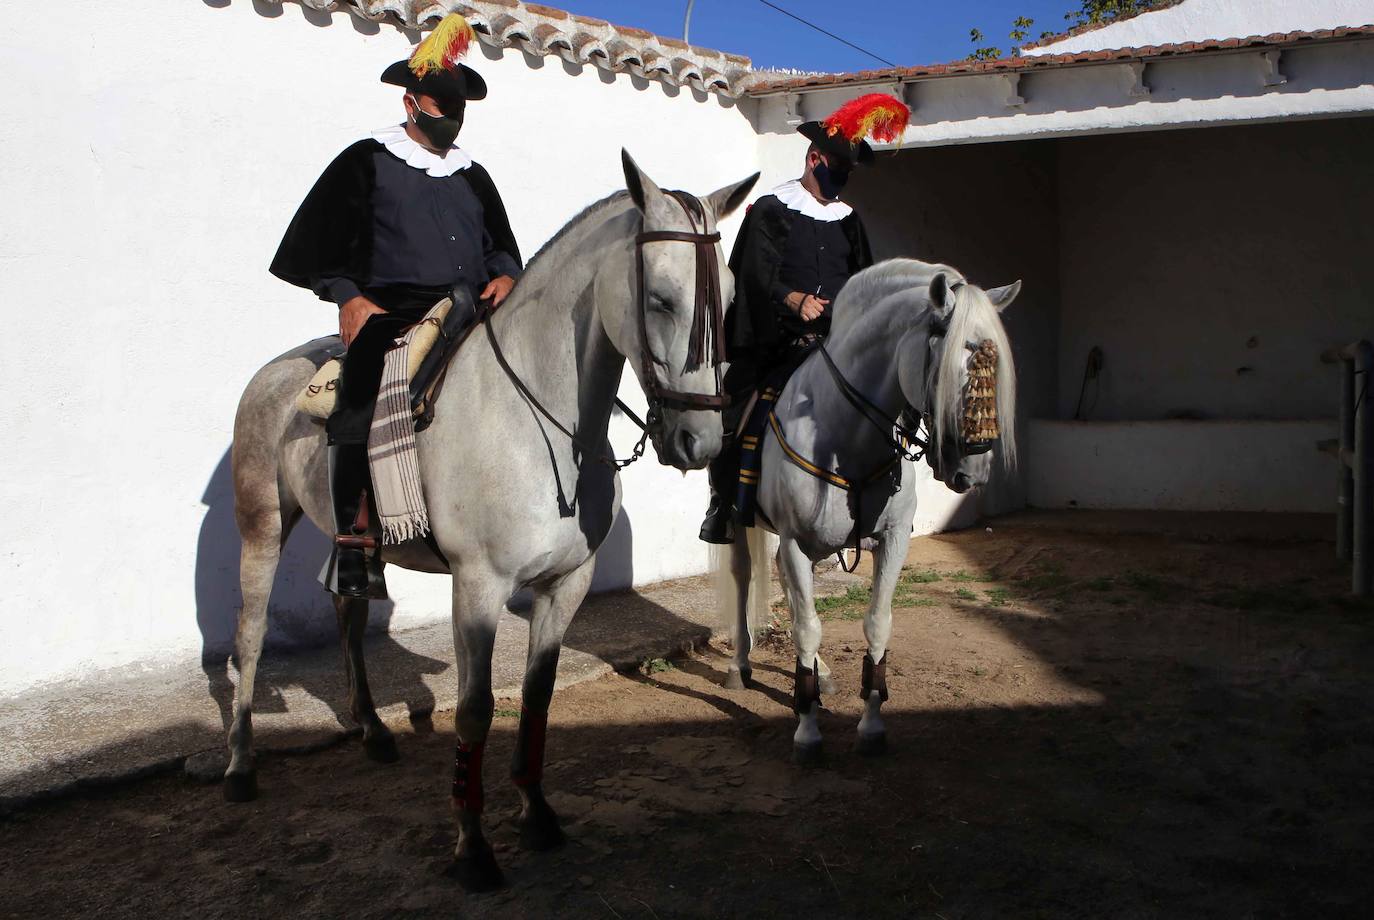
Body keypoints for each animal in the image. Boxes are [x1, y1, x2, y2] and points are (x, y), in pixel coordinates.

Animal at [229, 153, 758, 895]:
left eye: (729, 299)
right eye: (659, 298)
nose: (700, 441)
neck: (540, 420)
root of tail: (275, 372)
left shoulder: (566, 583)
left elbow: (537, 696)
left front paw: (536, 812)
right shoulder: (478, 587)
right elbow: (475, 709)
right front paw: (472, 847)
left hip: (350, 541)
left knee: (348, 615)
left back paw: (372, 730)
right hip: (262, 526)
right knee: (247, 638)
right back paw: (240, 765)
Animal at [719, 260, 1022, 763]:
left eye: (993, 368)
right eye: (950, 364)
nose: (974, 470)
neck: (846, 437)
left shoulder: (892, 541)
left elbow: (876, 625)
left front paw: (871, 724)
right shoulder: (796, 541)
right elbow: (806, 628)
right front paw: (807, 731)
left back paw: (820, 674)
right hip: (742, 525)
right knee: (744, 577)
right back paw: (739, 665)